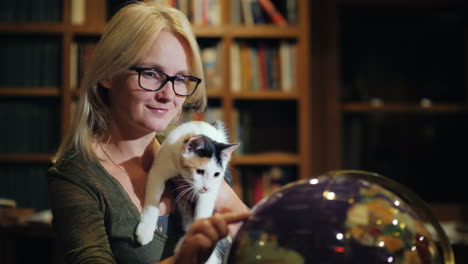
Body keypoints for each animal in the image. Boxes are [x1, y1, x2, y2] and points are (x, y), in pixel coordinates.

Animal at [134, 120, 238, 260]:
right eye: (199, 171)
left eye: (216, 174)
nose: (206, 187)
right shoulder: (158, 170)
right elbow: (152, 200)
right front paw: (146, 229)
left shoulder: (211, 191)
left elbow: (203, 210)